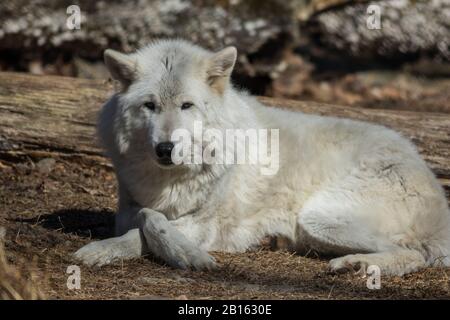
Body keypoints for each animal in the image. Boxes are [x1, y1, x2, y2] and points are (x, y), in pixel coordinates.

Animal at [75, 38, 450, 276]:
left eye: (186, 105)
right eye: (150, 105)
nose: (165, 149)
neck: (172, 180)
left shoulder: (205, 224)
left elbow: (149, 223)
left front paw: (190, 257)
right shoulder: (129, 208)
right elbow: (141, 221)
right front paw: (103, 250)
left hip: (318, 218)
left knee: (414, 253)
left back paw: (356, 265)